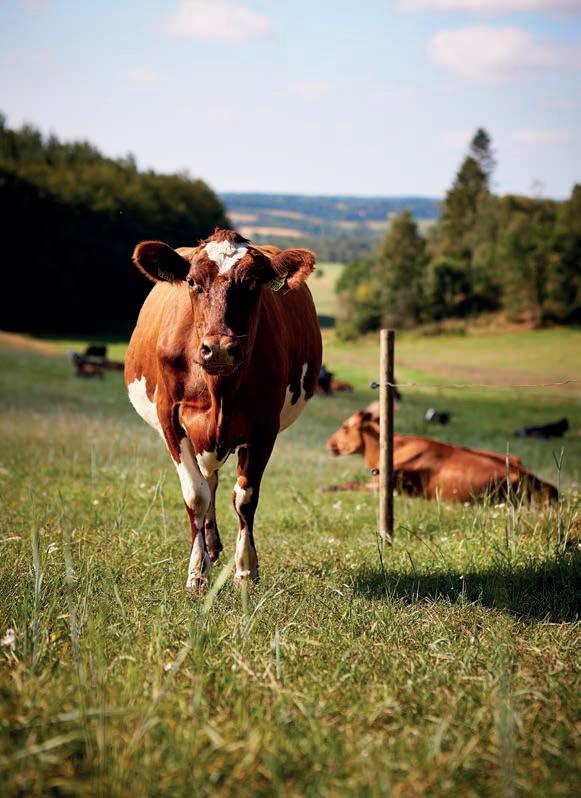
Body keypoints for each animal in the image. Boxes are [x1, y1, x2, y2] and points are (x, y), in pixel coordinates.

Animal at [125, 229, 322, 592]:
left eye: (253, 283)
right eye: (191, 281)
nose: (218, 348)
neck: (218, 392)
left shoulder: (264, 426)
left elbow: (244, 497)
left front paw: (245, 570)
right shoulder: (170, 419)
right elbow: (195, 495)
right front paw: (196, 571)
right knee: (207, 483)